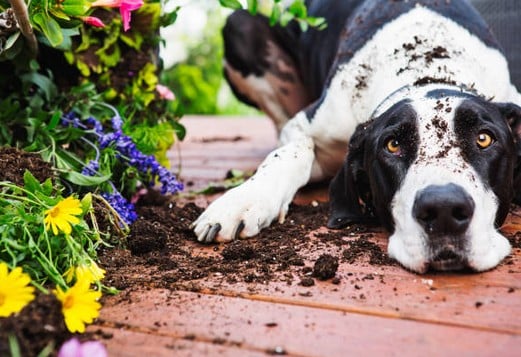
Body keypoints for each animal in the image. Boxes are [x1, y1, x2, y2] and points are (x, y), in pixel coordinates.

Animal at [192, 0, 520, 272]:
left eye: (484, 139)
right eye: (393, 145)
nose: (443, 210)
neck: (427, 69)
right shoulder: (305, 127)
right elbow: (290, 153)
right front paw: (244, 200)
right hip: (240, 26)